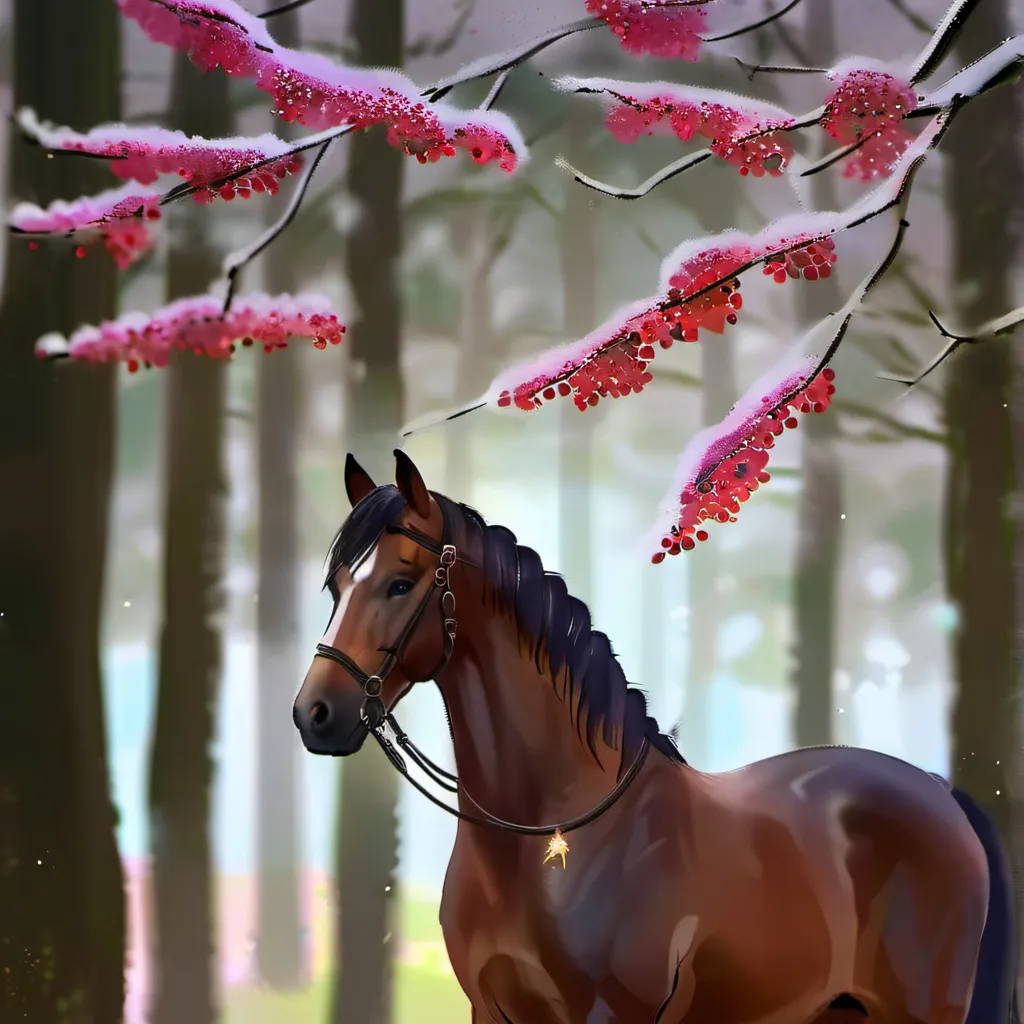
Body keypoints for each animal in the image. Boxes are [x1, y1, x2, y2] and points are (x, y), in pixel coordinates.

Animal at [293, 449, 1019, 1024]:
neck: (551, 837)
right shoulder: (491, 1012)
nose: (314, 715)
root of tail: (940, 792)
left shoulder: (610, 1015)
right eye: (336, 585)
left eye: (400, 583)